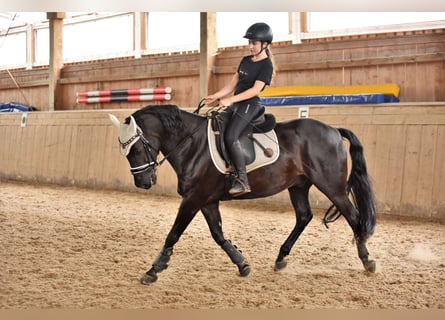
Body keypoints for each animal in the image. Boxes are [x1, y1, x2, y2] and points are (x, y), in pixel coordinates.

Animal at [108, 104, 374, 284]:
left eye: (136, 148)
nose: (143, 182)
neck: (193, 145)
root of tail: (333, 131)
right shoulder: (207, 201)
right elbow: (218, 234)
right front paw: (242, 263)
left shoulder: (194, 199)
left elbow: (174, 234)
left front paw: (154, 269)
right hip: (298, 186)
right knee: (304, 216)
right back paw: (281, 258)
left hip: (332, 187)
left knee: (354, 217)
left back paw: (367, 261)